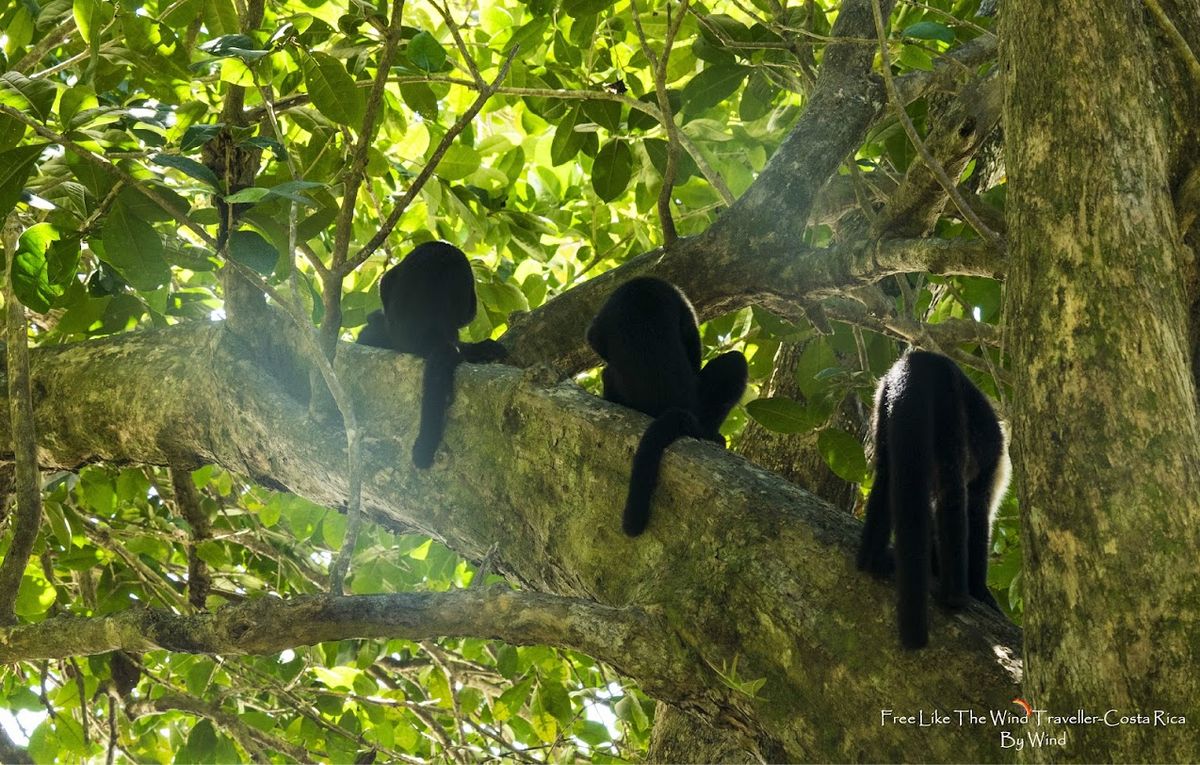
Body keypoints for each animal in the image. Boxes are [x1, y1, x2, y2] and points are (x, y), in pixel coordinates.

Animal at [854, 350, 1012, 652]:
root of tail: (916, 363)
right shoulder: (990, 470)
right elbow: (975, 514)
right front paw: (981, 592)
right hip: (947, 405)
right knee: (953, 494)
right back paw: (956, 596)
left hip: (885, 405)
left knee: (888, 477)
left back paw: (872, 559)